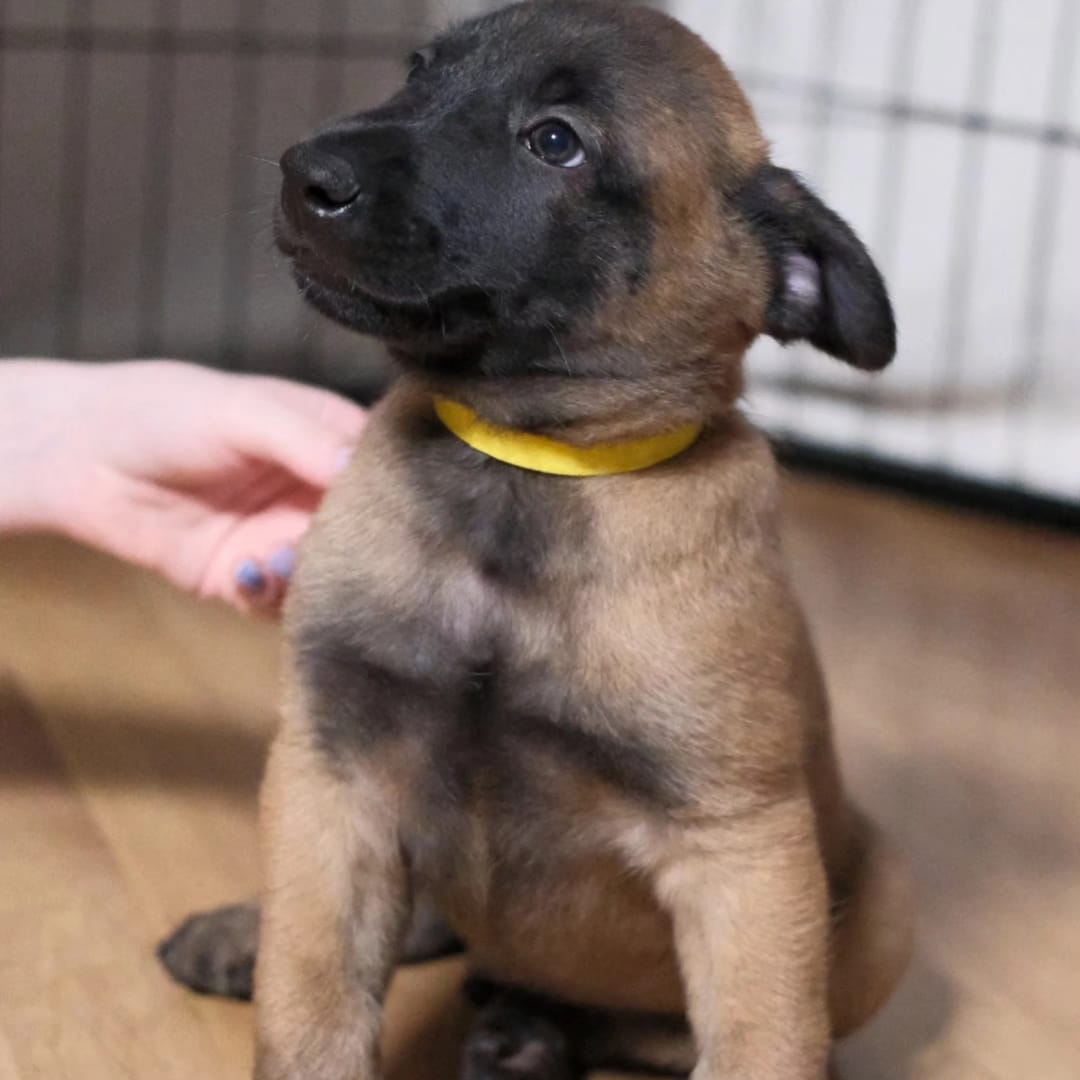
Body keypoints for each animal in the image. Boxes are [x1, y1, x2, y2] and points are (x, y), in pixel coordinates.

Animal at [159, 2, 913, 1077]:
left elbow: (761, 1037)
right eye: (418, 68)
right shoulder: (331, 776)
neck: (523, 472)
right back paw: (249, 934)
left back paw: (529, 1029)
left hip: (884, 908)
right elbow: (311, 998)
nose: (308, 172)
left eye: (555, 142)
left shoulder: (743, 850)